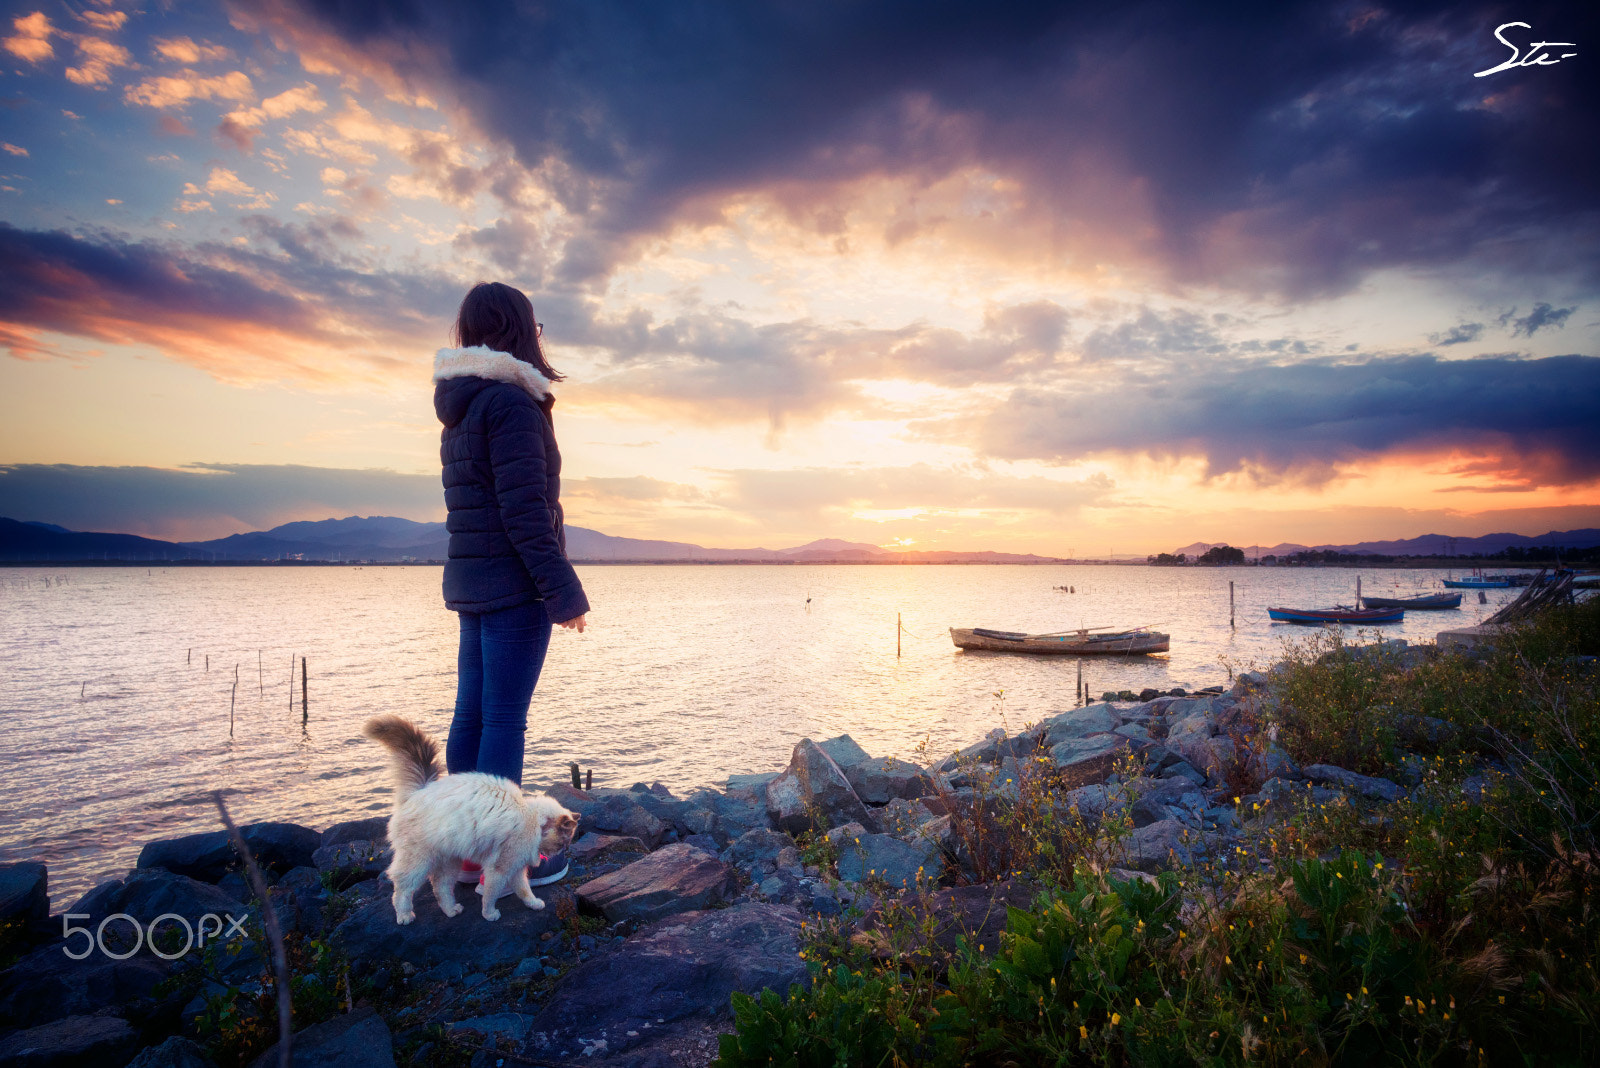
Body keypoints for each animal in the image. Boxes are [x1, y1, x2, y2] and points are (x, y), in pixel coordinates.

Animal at [364, 716, 582, 927]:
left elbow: (525, 890)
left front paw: (534, 903)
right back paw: (404, 915)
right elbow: (490, 895)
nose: (558, 853)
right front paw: (489, 914)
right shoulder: (500, 868)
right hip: (418, 861)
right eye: (563, 843)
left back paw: (451, 910)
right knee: (402, 889)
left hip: (449, 861)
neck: (531, 818)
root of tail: (418, 792)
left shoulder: (516, 868)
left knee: (440, 888)